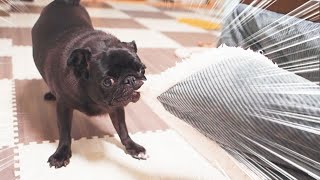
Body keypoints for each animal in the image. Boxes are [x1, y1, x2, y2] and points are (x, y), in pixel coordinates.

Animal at [31, 0, 147, 168]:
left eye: (142, 70)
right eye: (107, 81)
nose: (130, 79)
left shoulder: (117, 108)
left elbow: (122, 128)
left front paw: (132, 147)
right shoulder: (64, 106)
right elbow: (64, 132)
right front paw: (61, 154)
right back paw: (51, 93)